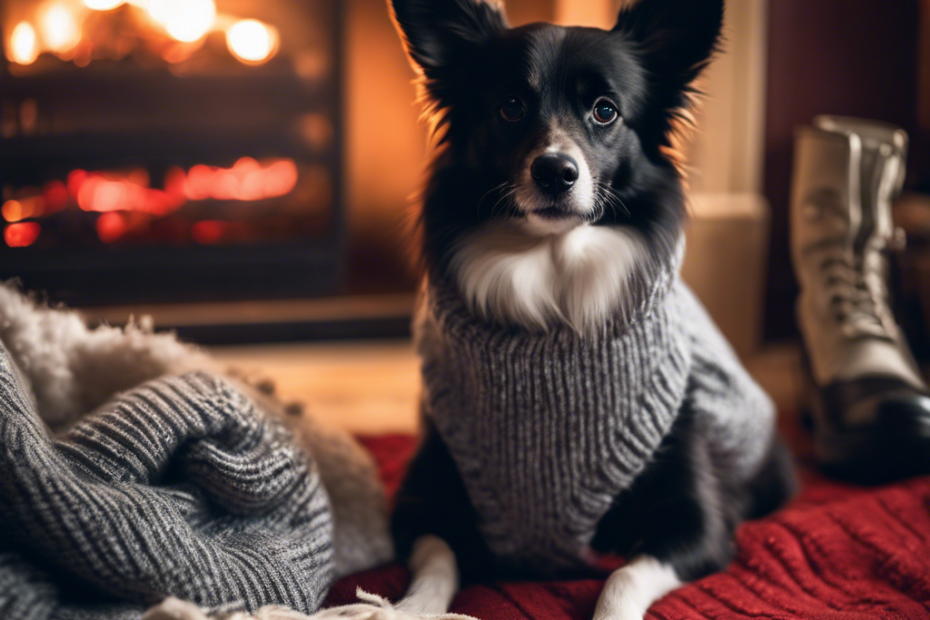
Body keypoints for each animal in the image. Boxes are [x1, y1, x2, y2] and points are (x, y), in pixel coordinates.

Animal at [324, 1, 792, 620]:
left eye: (605, 110)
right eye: (510, 105)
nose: (555, 171)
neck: (550, 277)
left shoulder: (698, 524)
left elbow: (623, 576)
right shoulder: (426, 496)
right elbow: (436, 564)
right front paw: (404, 609)